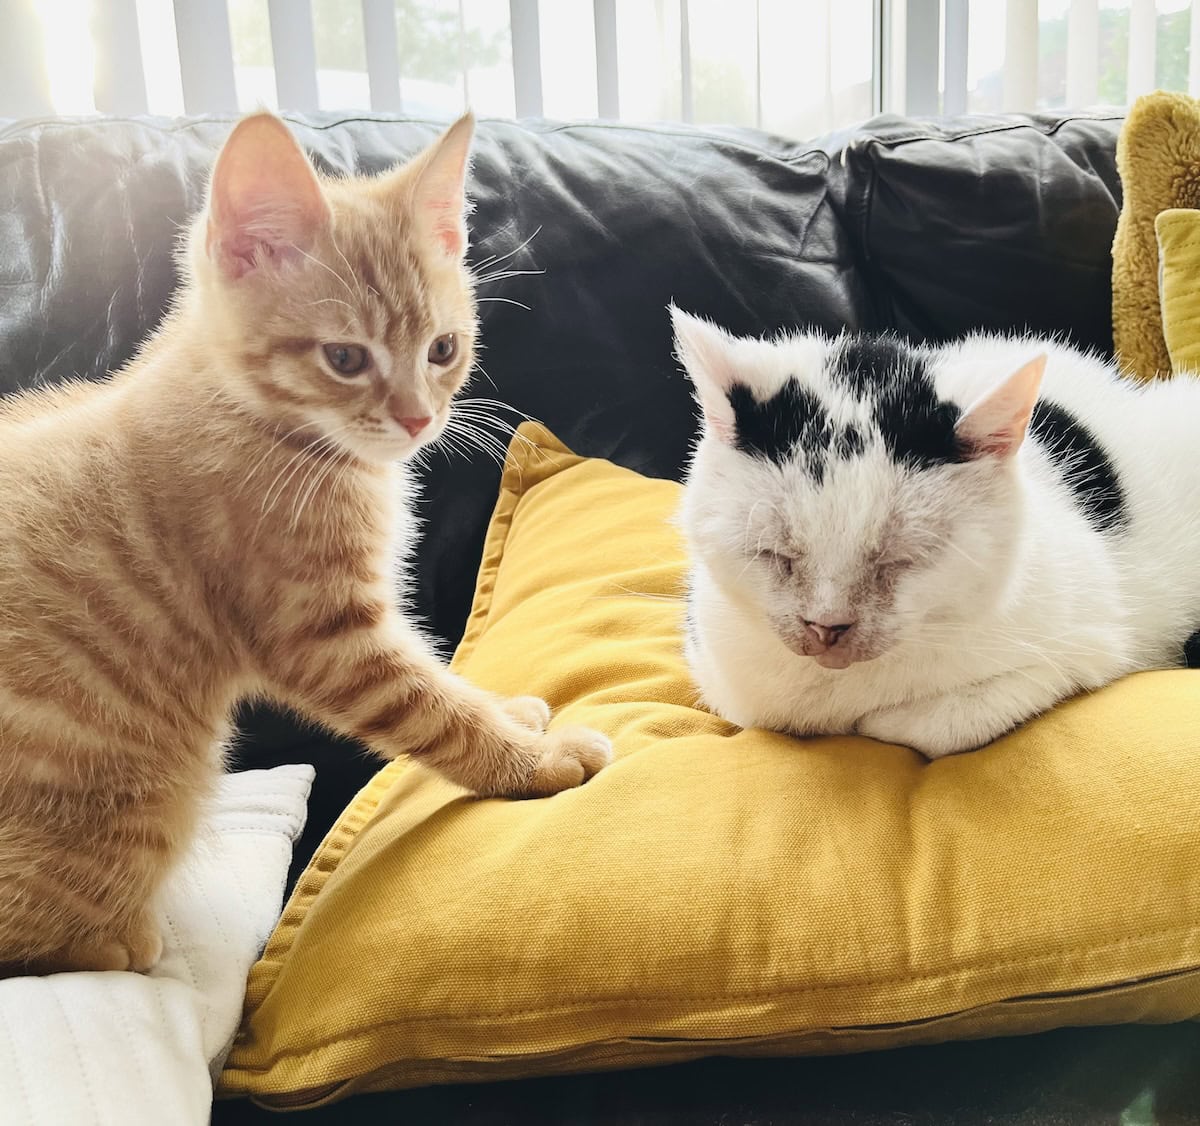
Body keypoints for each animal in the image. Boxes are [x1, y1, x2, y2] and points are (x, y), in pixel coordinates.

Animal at [0, 116, 609, 974]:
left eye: (443, 349)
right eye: (346, 358)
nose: (419, 418)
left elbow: (443, 681)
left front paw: (507, 712)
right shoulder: (322, 636)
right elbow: (430, 706)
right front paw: (530, 761)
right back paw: (123, 940)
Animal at [672, 304, 1200, 753]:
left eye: (900, 559)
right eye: (775, 555)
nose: (827, 628)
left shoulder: (1087, 647)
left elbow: (938, 724)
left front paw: (874, 720)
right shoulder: (718, 671)